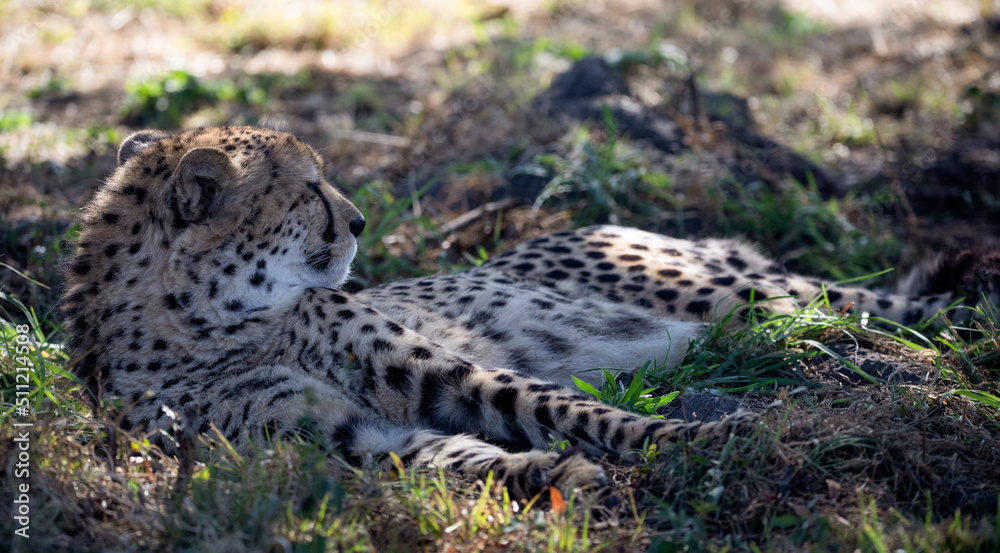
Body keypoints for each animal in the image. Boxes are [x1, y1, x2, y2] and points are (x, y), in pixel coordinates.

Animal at [59, 126, 997, 505]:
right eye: (308, 189)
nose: (358, 222)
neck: (210, 321)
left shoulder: (437, 369)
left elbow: (555, 405)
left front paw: (686, 440)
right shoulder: (322, 438)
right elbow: (436, 458)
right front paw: (549, 476)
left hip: (742, 298)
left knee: (871, 319)